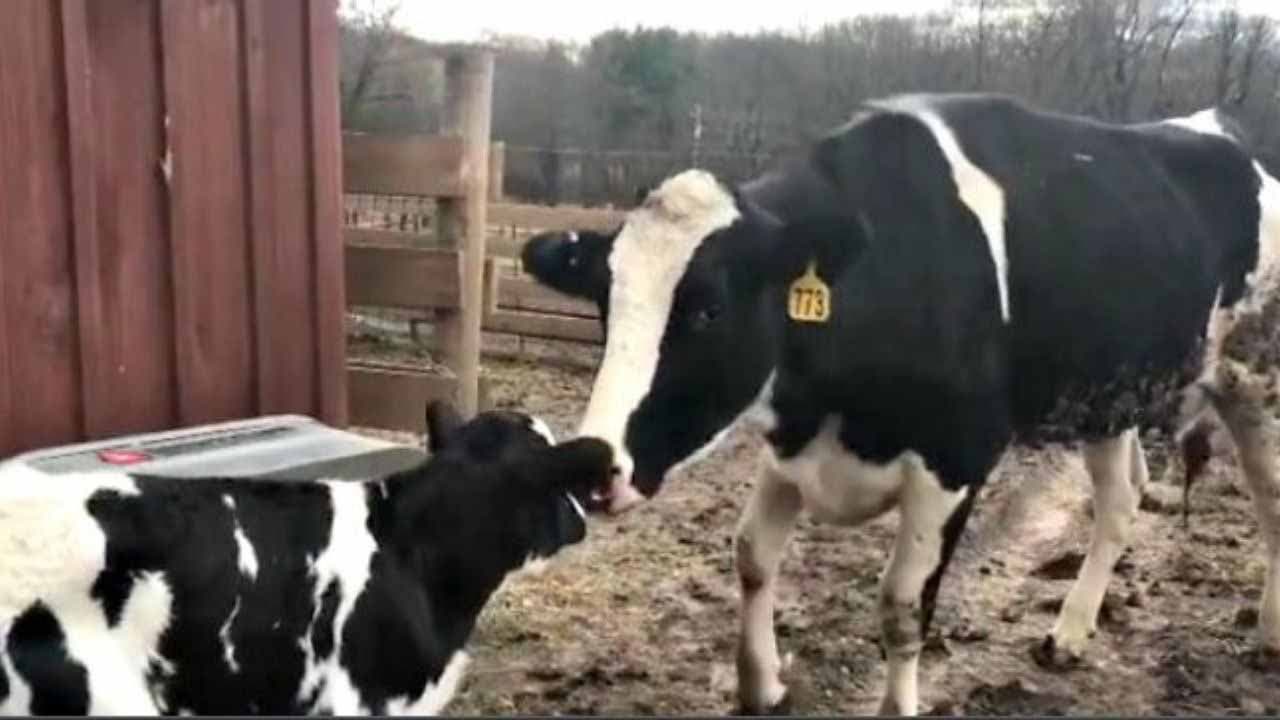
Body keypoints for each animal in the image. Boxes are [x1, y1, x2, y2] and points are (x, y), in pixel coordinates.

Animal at [522, 94, 1280, 712]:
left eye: (709, 309)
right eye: (605, 303)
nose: (591, 464)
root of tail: (1223, 133)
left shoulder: (957, 460)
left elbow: (902, 606)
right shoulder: (793, 444)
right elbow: (752, 555)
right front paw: (762, 686)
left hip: (1255, 385)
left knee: (1269, 502)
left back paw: (1267, 633)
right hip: (1110, 396)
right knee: (1120, 503)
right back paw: (1068, 631)